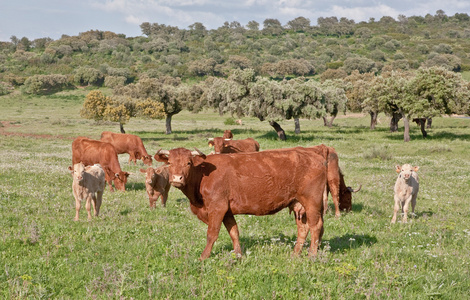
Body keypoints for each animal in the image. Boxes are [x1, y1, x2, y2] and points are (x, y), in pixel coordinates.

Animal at [156, 146, 328, 258]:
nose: (177, 178)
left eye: (188, 163)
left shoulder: (217, 207)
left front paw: (203, 257)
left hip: (312, 202)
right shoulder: (227, 211)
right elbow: (234, 232)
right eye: (169, 163)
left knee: (316, 226)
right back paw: (295, 254)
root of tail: (313, 152)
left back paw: (312, 255)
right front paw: (238, 255)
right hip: (299, 204)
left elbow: (212, 234)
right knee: (303, 228)